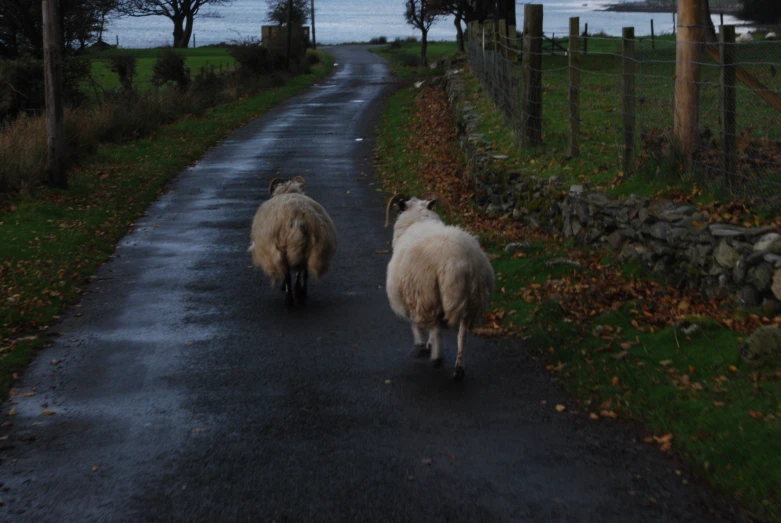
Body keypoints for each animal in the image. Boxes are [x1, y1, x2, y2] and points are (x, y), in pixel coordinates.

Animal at [248, 176, 336, 308]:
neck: (289, 191)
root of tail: (298, 218)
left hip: (283, 249)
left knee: (288, 274)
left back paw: (289, 299)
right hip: (311, 248)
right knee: (304, 272)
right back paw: (302, 291)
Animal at [384, 192, 494, 380]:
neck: (418, 218)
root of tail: (462, 263)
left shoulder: (411, 292)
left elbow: (415, 323)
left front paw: (421, 345)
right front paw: (428, 344)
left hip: (430, 293)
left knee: (436, 327)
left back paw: (437, 358)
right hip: (471, 300)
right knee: (462, 335)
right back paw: (458, 369)